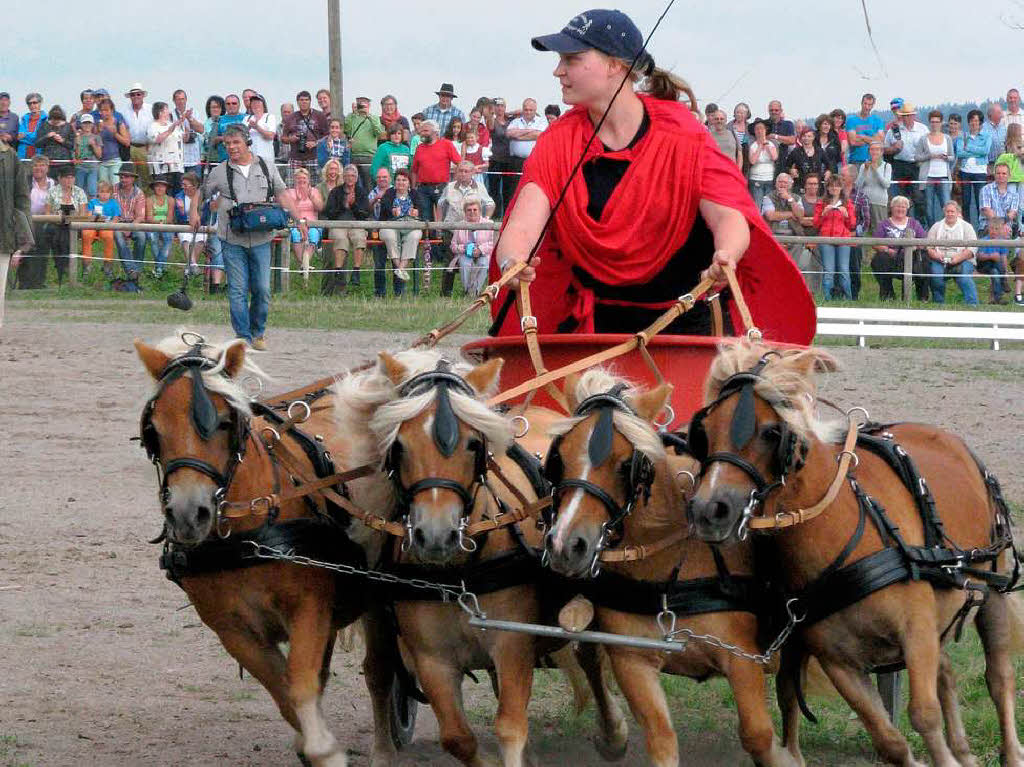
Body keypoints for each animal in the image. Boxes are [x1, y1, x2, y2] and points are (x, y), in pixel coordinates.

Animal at [135, 335, 403, 765]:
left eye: (225, 422)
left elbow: (300, 683)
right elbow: (284, 692)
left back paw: (384, 751)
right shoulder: (232, 631)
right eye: (153, 429)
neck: (247, 534)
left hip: (378, 593)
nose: (189, 514)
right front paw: (313, 745)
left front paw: (325, 751)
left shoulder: (309, 607)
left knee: (379, 671)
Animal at [331, 352, 626, 765]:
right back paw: (383, 751)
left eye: (473, 444)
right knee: (378, 672)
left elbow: (511, 725)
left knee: (589, 656)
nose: (435, 535)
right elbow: (457, 736)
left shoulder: (512, 643)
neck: (461, 573)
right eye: (399, 445)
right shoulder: (433, 659)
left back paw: (612, 735)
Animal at [544, 368, 798, 761]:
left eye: (625, 466)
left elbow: (758, 733)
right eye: (561, 458)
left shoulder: (741, 657)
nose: (565, 545)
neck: (667, 570)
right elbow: (661, 739)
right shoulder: (633, 661)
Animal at [688, 342, 1024, 765]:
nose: (707, 509)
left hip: (991, 590)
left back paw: (1010, 751)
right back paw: (964, 751)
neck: (841, 530)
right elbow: (887, 738)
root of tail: (949, 438)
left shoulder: (916, 629)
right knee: (947, 673)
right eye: (705, 432)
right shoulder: (839, 660)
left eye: (770, 432)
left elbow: (924, 714)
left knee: (999, 679)